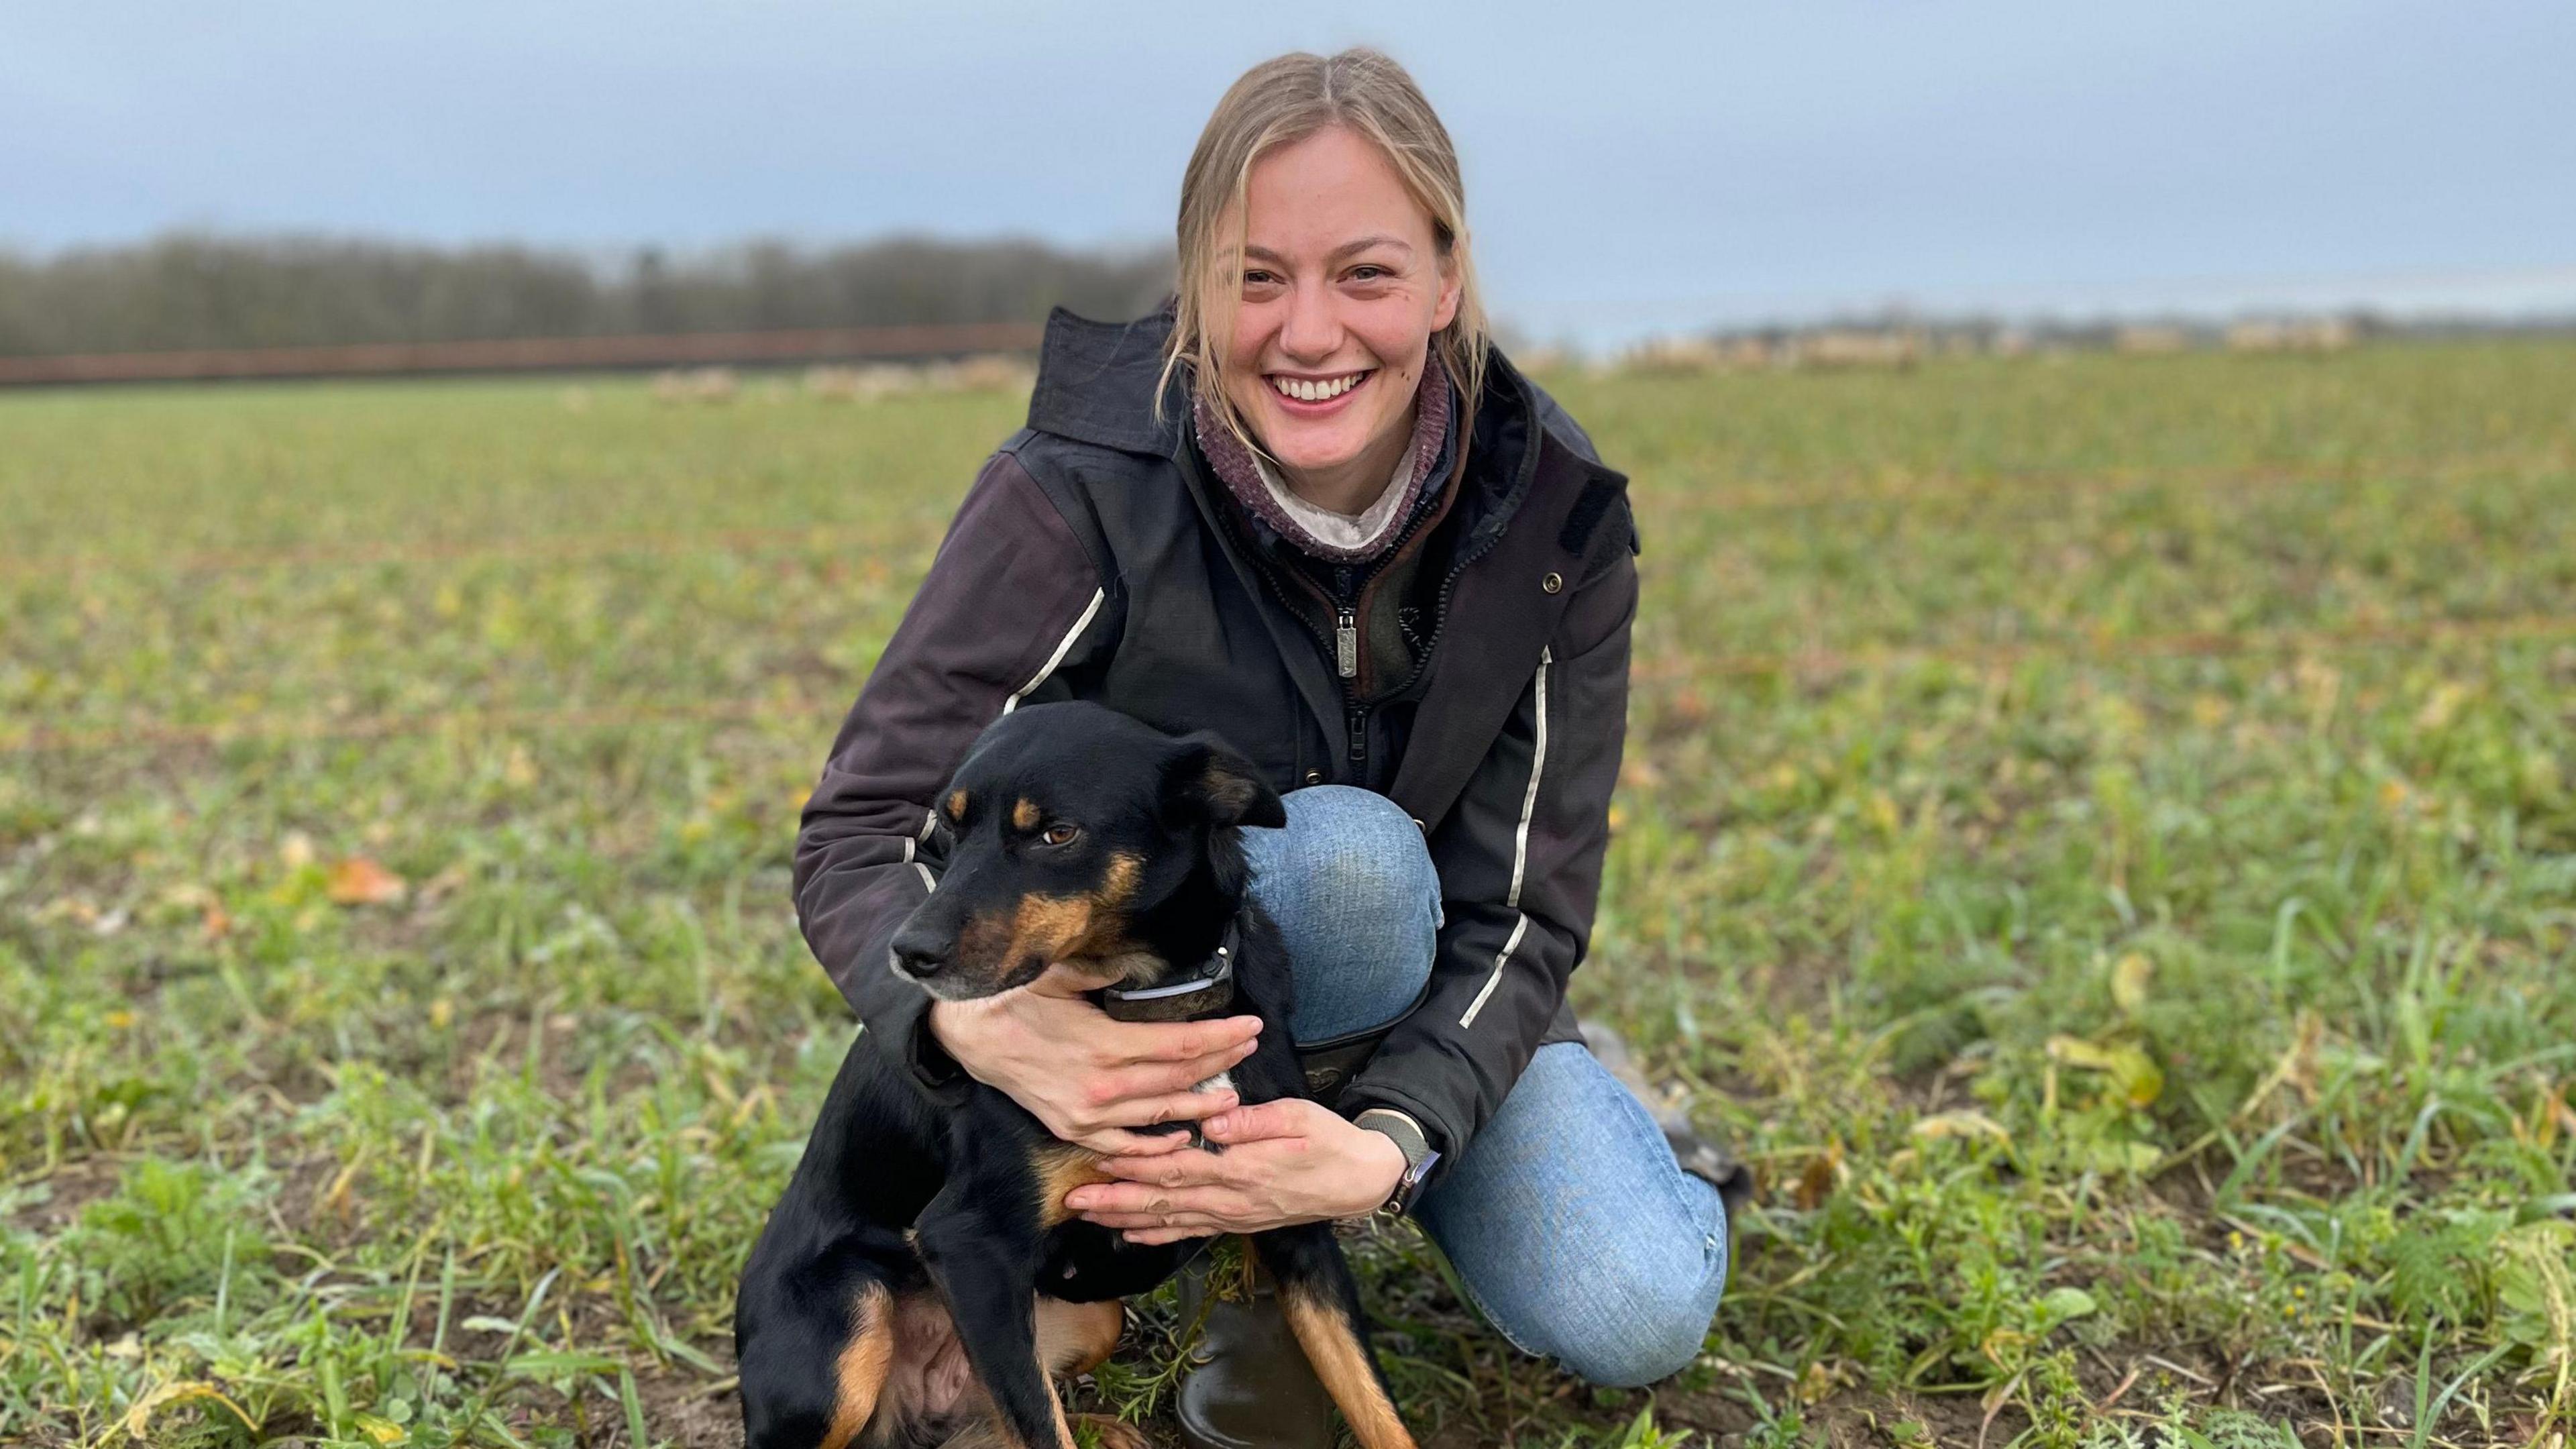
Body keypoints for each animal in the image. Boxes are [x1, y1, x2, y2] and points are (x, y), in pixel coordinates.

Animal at [741, 701, 1411, 1444]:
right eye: (948, 827)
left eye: (1056, 834)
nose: (907, 952)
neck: (1155, 1000)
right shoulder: (967, 1243)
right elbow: (1041, 1426)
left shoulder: (1294, 1215)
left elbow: (1374, 1402)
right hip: (849, 1337)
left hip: (1090, 1320)